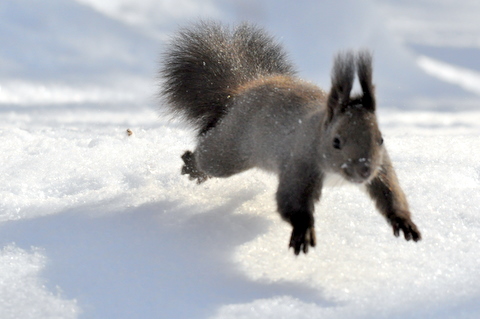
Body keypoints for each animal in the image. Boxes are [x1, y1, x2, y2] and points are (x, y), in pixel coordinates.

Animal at [160, 20, 420, 255]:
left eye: (381, 139)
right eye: (336, 142)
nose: (364, 170)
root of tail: (243, 90)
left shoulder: (382, 167)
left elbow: (390, 194)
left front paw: (403, 221)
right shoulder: (300, 163)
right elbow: (291, 202)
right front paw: (303, 231)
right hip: (230, 149)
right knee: (209, 153)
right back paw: (193, 165)